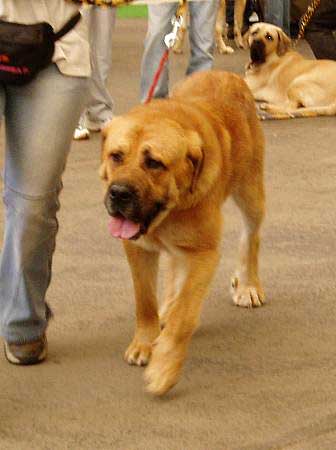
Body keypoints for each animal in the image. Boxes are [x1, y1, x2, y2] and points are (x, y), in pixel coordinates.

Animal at [100, 69, 266, 394]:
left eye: (154, 163)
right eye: (116, 156)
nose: (119, 193)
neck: (170, 211)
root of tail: (227, 73)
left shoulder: (204, 254)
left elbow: (184, 317)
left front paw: (164, 369)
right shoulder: (137, 249)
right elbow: (145, 301)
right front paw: (144, 343)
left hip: (251, 193)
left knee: (250, 236)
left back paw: (248, 285)